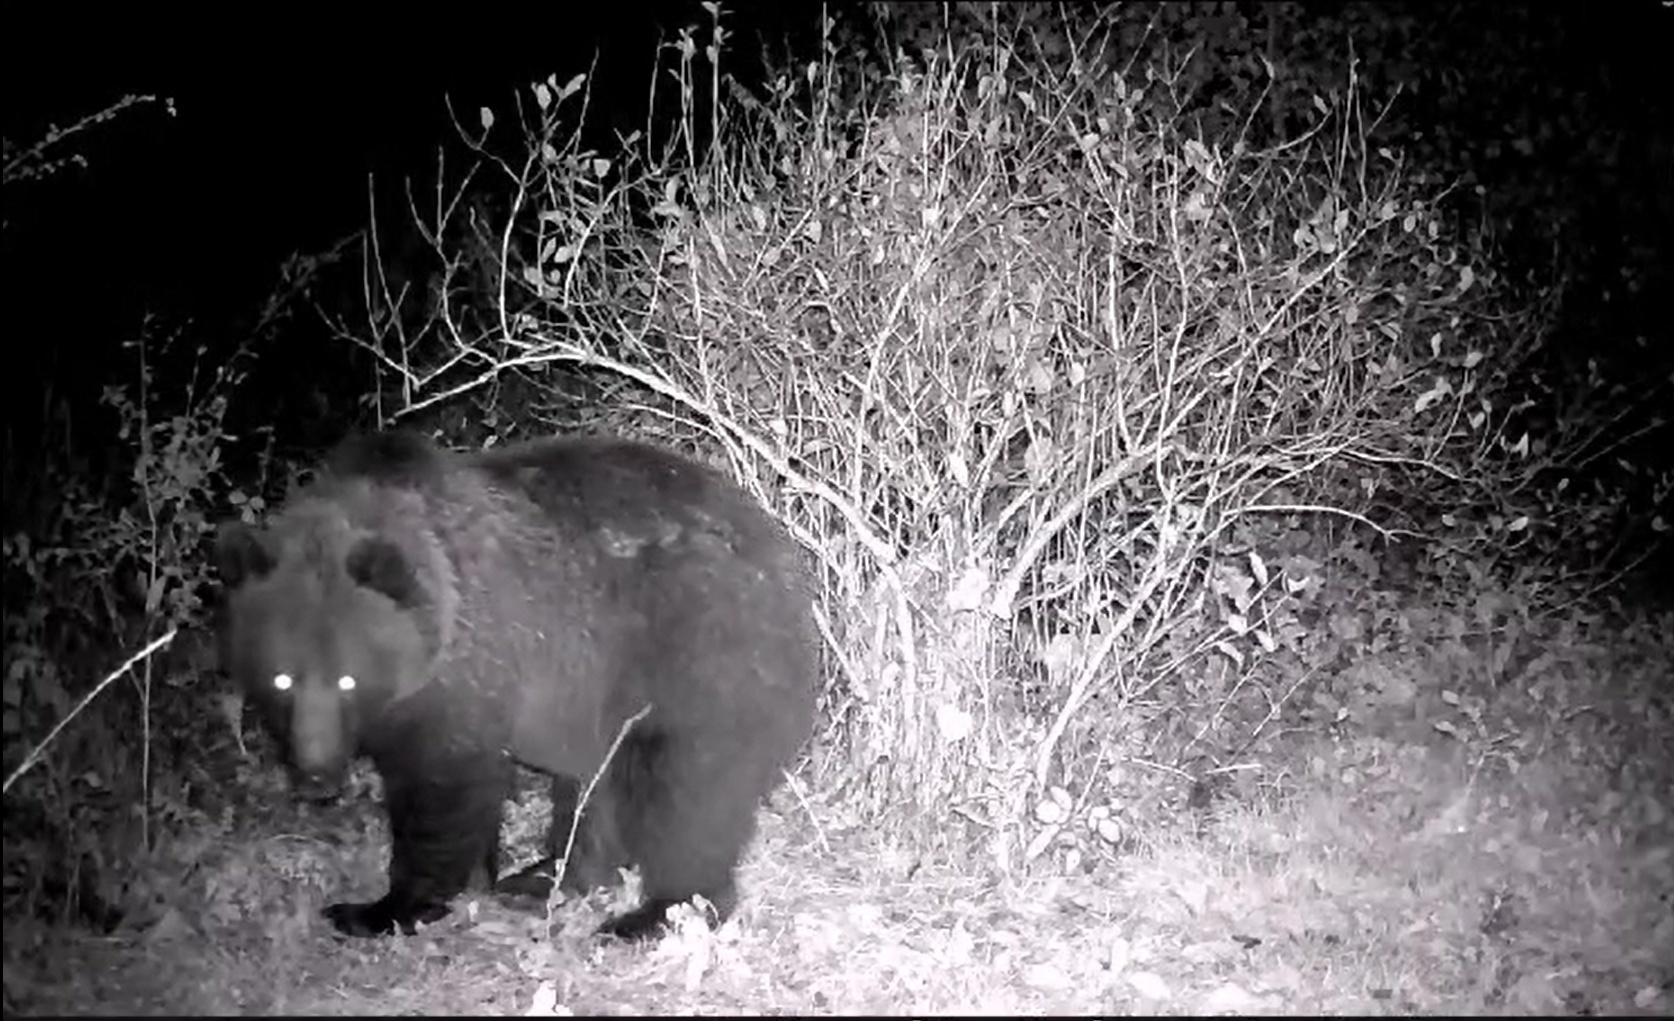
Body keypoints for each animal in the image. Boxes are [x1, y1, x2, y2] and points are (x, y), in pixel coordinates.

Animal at [219, 428, 820, 937]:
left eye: (348, 678)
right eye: (280, 678)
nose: (316, 777)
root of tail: (787, 566)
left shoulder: (469, 669)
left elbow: (443, 787)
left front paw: (381, 907)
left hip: (696, 663)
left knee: (686, 794)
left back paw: (653, 912)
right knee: (594, 789)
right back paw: (545, 877)